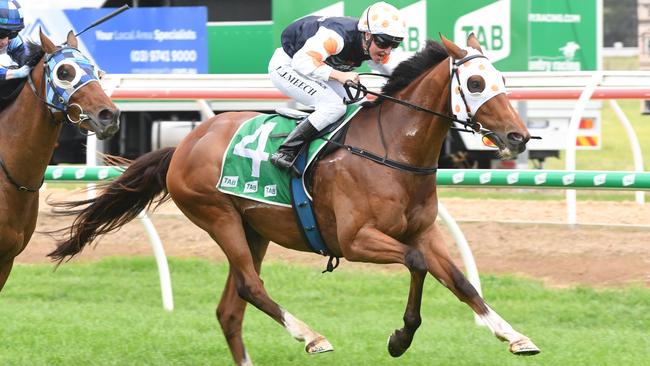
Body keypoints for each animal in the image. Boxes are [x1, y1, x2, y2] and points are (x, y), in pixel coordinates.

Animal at [49, 33, 536, 364]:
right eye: (475, 83)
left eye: (502, 79)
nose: (519, 136)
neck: (392, 149)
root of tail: (185, 143)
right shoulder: (356, 240)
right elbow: (416, 265)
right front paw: (401, 338)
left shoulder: (423, 232)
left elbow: (462, 282)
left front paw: (516, 336)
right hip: (218, 217)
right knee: (250, 287)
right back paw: (311, 335)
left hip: (254, 230)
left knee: (231, 309)